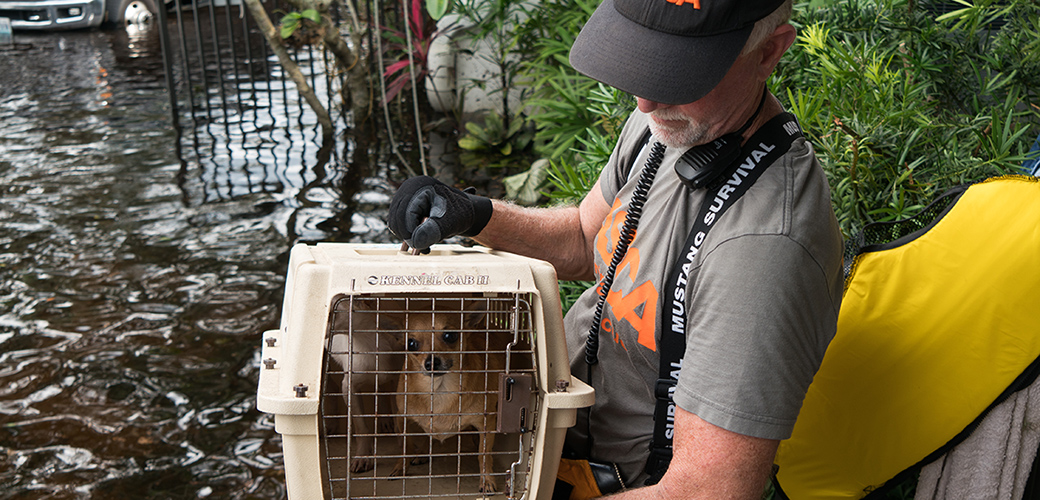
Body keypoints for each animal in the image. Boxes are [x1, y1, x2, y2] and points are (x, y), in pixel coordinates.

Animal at [388, 297, 505, 492]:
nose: (431, 362)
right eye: (411, 344)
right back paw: (423, 453)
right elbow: (406, 446)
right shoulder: (401, 419)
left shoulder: (487, 423)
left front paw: (487, 479)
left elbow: (484, 454)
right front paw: (400, 467)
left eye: (450, 335)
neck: (439, 390)